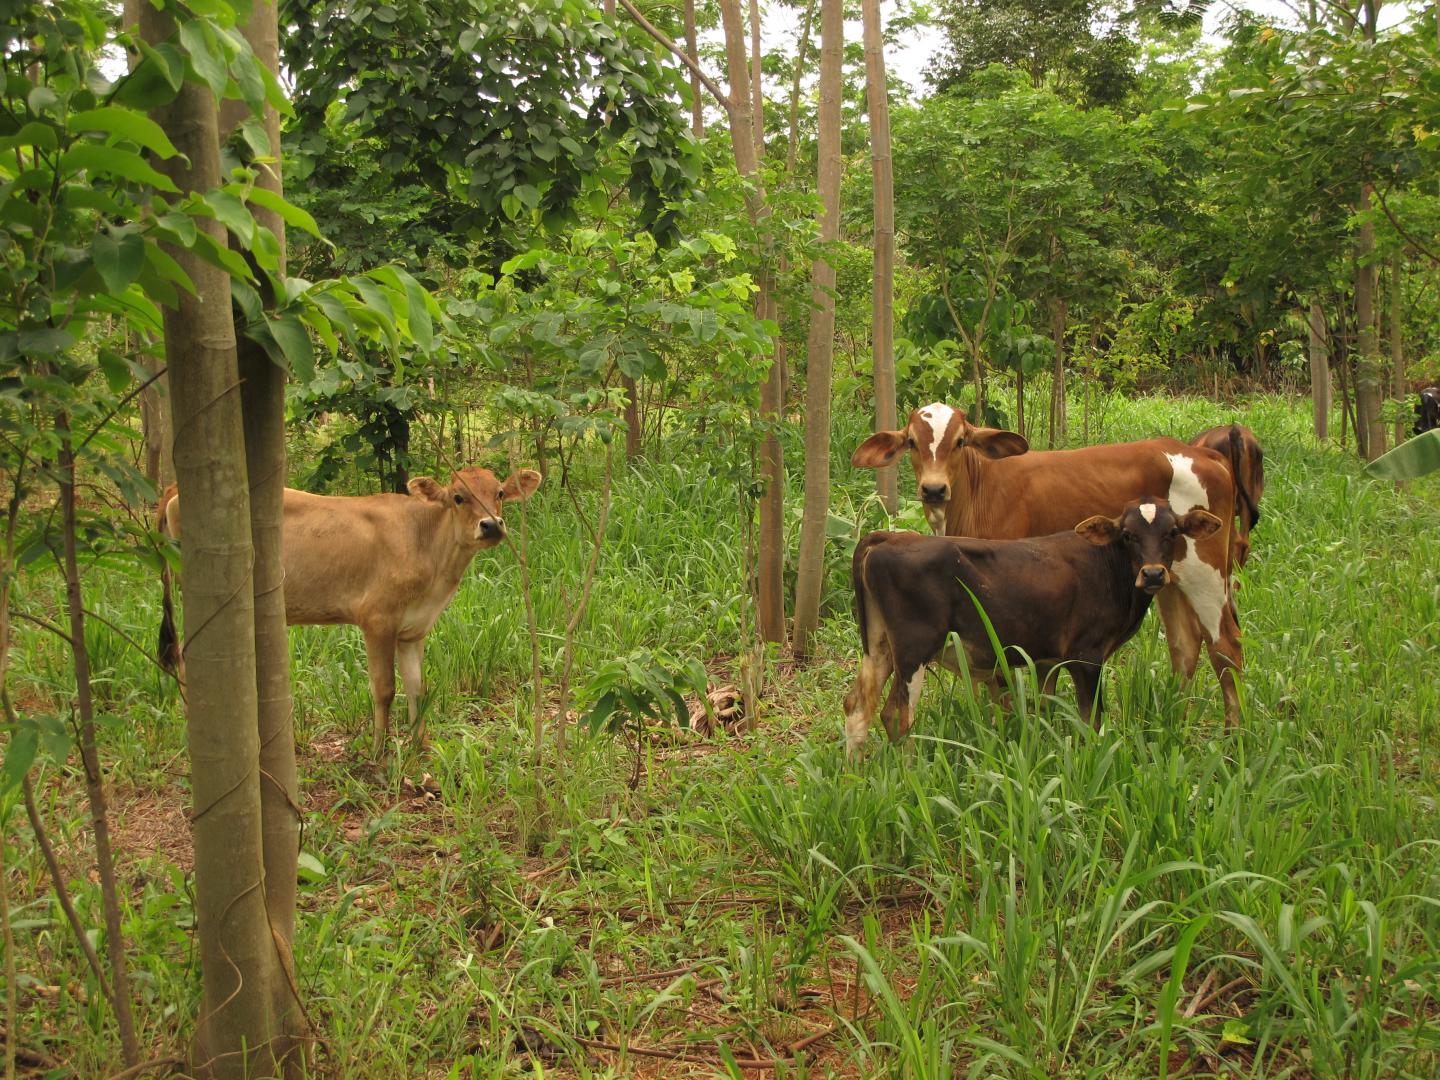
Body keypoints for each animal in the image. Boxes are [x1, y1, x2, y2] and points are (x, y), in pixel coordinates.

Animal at [158, 466, 541, 751]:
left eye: (499, 493)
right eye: (458, 497)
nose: (491, 525)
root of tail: (174, 487)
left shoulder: (413, 629)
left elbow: (418, 687)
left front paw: (419, 746)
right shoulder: (377, 620)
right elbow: (384, 689)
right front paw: (378, 752)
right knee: (186, 656)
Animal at [843, 498, 1224, 754]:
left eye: (1172, 531)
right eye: (1128, 535)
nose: (1154, 573)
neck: (1107, 567)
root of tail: (889, 537)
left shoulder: (1046, 660)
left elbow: (1045, 711)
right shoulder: (1087, 657)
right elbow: (1092, 721)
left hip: (879, 646)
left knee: (857, 706)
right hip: (915, 648)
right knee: (896, 715)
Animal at [852, 403, 1243, 726]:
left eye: (961, 441)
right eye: (912, 442)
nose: (934, 489)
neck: (979, 491)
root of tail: (1203, 453)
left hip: (1204, 571)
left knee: (1225, 646)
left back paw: (1232, 734)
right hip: (1166, 577)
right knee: (1184, 646)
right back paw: (1175, 722)